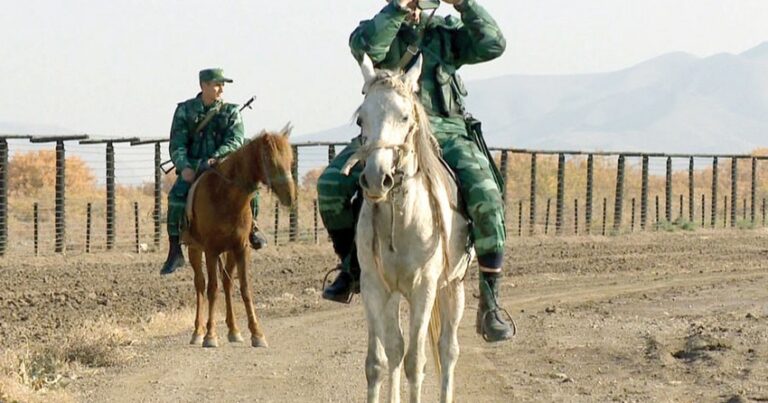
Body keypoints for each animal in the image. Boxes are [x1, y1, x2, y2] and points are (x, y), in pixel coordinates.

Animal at [183, 124, 296, 348]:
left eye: (291, 160)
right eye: (271, 161)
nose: (290, 196)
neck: (227, 196)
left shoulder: (241, 248)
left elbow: (244, 288)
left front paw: (257, 334)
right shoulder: (210, 250)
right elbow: (212, 289)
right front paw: (210, 336)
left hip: (229, 252)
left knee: (227, 283)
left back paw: (234, 330)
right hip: (194, 249)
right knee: (200, 284)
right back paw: (198, 332)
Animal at [344, 54, 474, 403]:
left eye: (404, 116)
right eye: (361, 120)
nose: (376, 179)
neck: (403, 219)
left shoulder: (423, 288)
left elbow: (417, 362)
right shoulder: (374, 287)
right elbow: (377, 362)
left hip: (452, 287)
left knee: (448, 350)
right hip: (394, 295)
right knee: (395, 348)